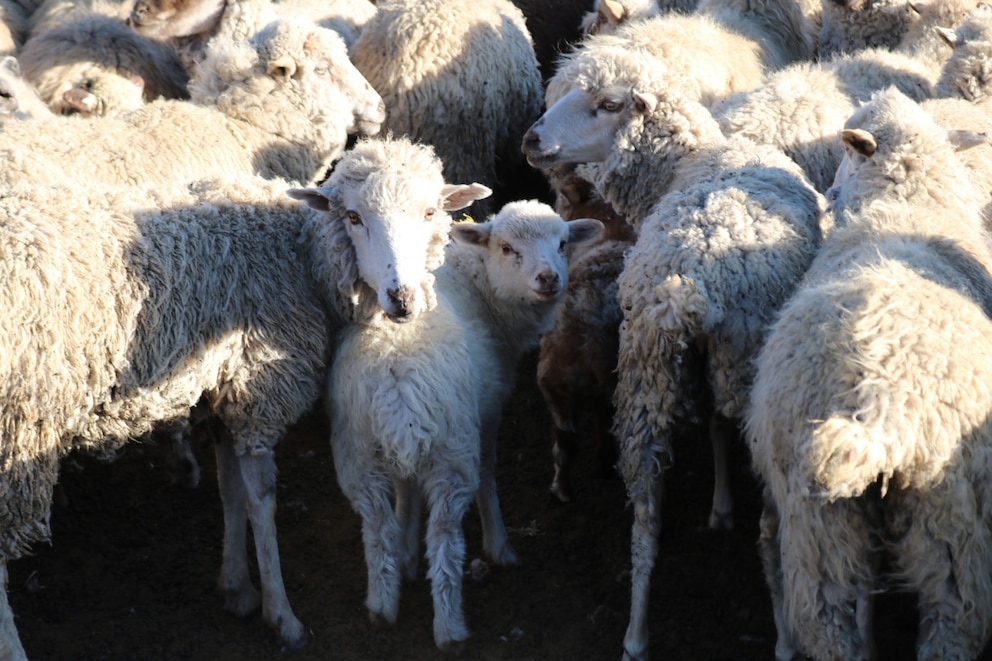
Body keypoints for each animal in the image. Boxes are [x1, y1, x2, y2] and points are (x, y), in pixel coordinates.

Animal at [0, 135, 492, 660]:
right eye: (354, 217)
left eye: (429, 212)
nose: (402, 299)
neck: (297, 254)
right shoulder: (259, 390)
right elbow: (262, 501)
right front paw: (281, 614)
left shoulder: (224, 391)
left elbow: (230, 491)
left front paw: (236, 587)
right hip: (17, 436)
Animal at [325, 198, 602, 650]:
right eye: (507, 248)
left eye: (563, 243)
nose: (549, 279)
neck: (480, 285)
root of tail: (397, 380)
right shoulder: (486, 412)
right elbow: (489, 472)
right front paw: (499, 547)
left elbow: (405, 490)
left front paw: (405, 553)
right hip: (452, 452)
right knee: (445, 538)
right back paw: (450, 626)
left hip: (358, 448)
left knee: (376, 526)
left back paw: (382, 604)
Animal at [522, 45, 826, 661]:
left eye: (608, 105)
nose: (531, 139)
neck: (693, 161)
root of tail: (687, 286)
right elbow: (719, 429)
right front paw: (725, 508)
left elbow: (710, 424)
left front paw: (718, 505)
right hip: (744, 377)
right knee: (769, 526)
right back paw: (784, 637)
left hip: (645, 370)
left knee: (644, 515)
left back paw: (636, 635)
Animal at [747, 86, 992, 661]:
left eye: (846, 148)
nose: (827, 192)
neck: (906, 208)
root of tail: (877, 410)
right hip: (942, 528)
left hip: (824, 528)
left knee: (834, 629)